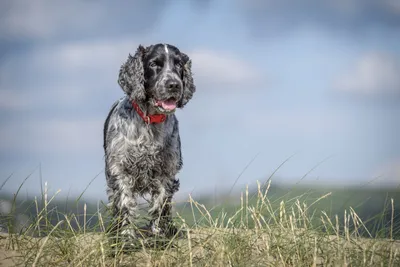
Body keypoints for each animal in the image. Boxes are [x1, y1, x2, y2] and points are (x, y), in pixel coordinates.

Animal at [104, 43, 196, 241]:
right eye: (154, 64)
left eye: (178, 64)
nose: (174, 85)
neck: (149, 123)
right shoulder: (120, 169)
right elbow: (124, 204)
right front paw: (126, 237)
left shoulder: (166, 171)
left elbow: (160, 204)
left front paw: (159, 235)